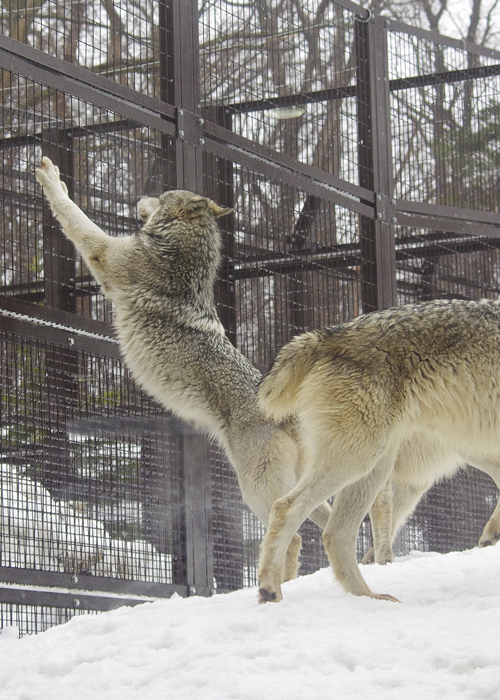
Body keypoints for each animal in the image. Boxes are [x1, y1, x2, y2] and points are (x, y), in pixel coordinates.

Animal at [36, 159, 332, 580]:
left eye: (161, 195)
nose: (139, 195)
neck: (179, 255)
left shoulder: (103, 253)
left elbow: (75, 216)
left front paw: (52, 178)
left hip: (255, 490)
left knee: (291, 539)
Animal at [256, 300, 500, 600]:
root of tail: (327, 334)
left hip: (378, 469)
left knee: (335, 533)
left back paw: (367, 598)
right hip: (359, 460)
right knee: (286, 508)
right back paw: (270, 589)